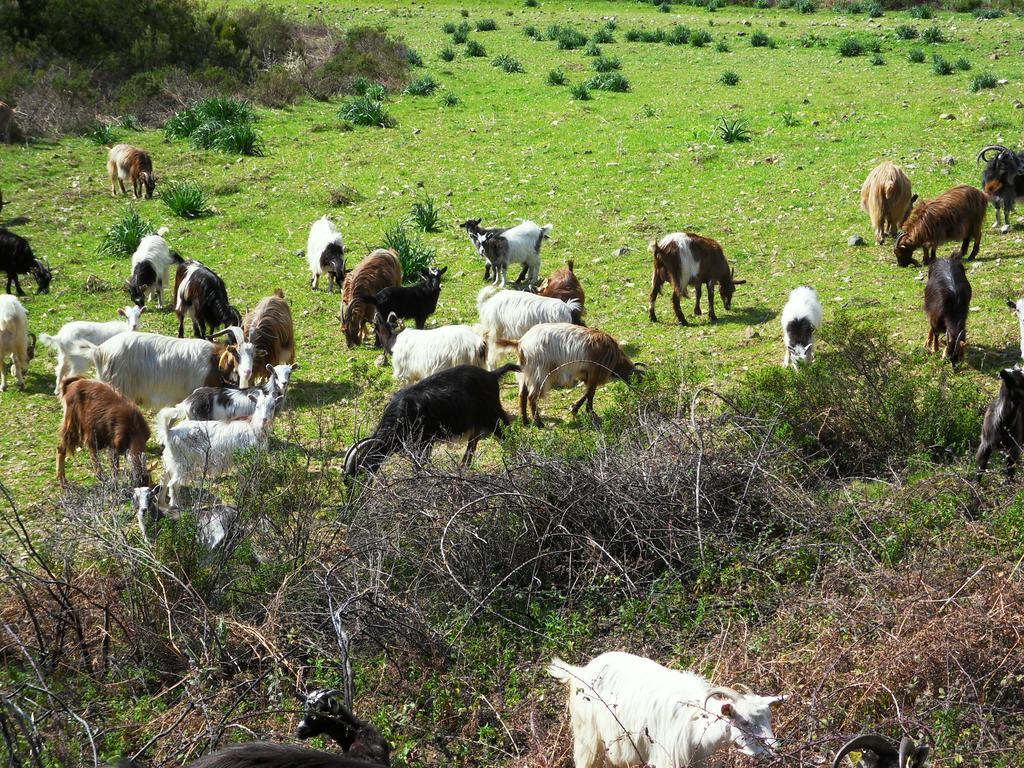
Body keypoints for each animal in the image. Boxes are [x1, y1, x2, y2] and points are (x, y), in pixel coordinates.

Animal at [344, 364, 520, 479]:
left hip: (493, 414)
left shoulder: (425, 440)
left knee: (507, 435)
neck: (400, 414)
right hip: (476, 420)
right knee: (473, 441)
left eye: (359, 474)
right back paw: (464, 467)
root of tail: (492, 374)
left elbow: (419, 464)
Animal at [552, 651, 782, 768]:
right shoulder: (667, 759)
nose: (774, 750)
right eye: (744, 722)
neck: (697, 721)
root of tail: (580, 671)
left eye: (769, 719)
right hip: (588, 737)